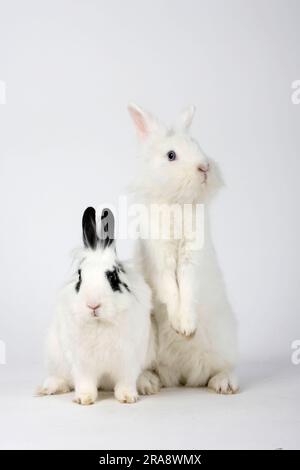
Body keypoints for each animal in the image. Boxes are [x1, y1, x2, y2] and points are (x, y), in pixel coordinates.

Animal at [38, 206, 158, 404]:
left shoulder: (128, 360)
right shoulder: (82, 363)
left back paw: (147, 385)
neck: (100, 323)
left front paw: (128, 397)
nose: (93, 305)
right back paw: (48, 387)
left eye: (113, 276)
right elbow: (85, 382)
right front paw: (84, 399)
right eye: (80, 276)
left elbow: (126, 380)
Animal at [128, 103, 239, 392]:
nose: (205, 167)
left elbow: (187, 287)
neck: (177, 202)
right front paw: (180, 326)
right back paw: (148, 384)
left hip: (223, 338)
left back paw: (223, 383)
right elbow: (170, 288)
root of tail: (180, 374)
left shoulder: (193, 257)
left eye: (197, 144)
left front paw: (186, 328)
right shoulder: (159, 258)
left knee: (223, 367)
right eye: (171, 155)